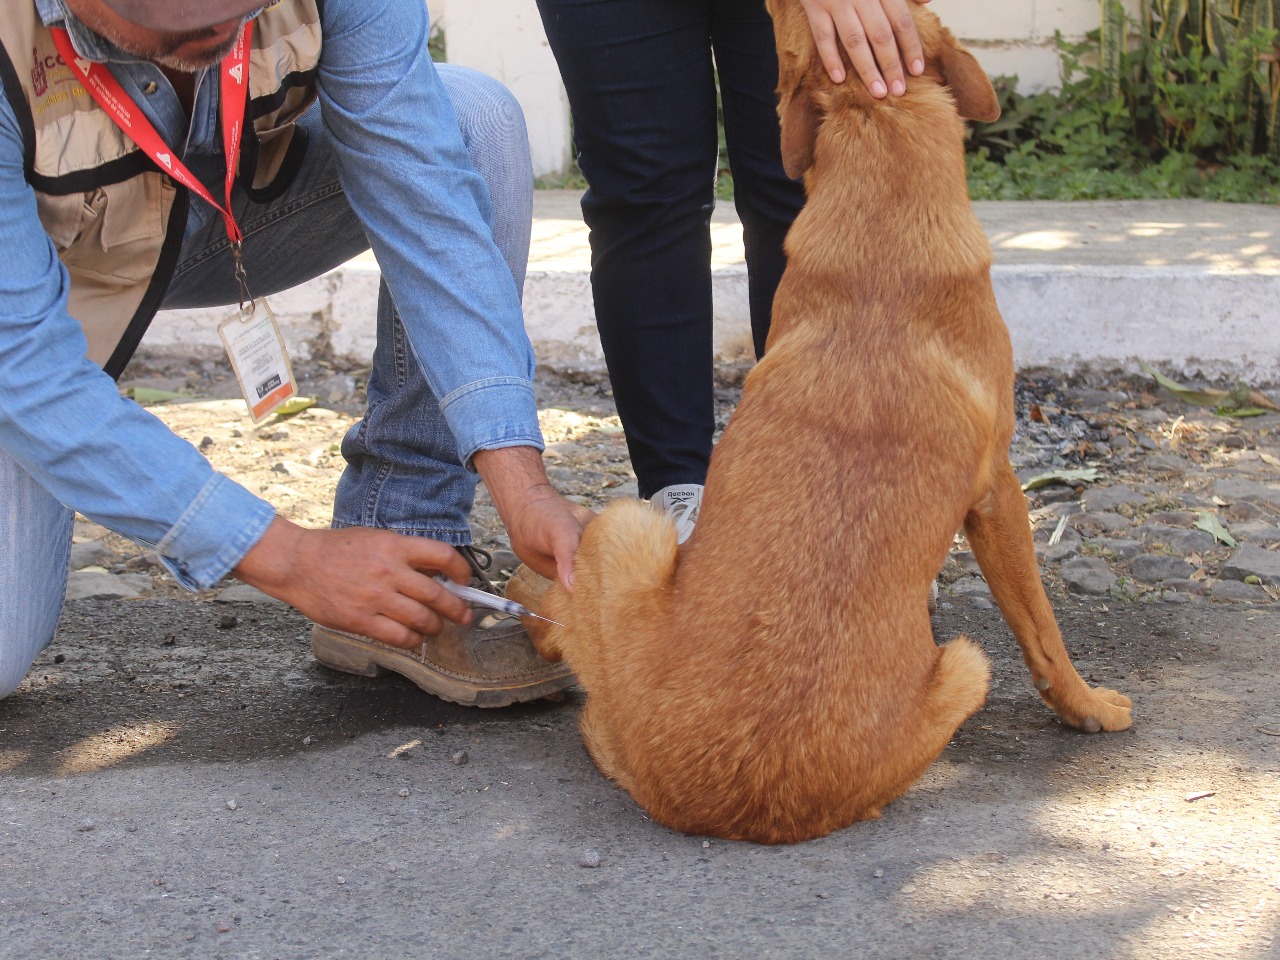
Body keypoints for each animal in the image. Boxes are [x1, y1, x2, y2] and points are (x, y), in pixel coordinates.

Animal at [509, 2, 1132, 844]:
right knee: (551, 615)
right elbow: (1042, 628)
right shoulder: (999, 491)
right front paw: (1087, 706)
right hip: (943, 654)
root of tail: (716, 802)